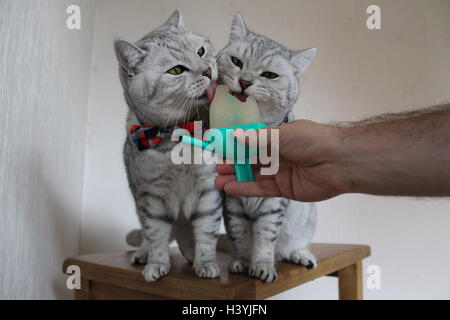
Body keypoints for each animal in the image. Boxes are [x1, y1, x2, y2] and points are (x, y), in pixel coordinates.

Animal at [115, 9, 222, 280]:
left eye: (200, 51)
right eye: (176, 70)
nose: (208, 71)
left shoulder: (208, 189)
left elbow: (207, 231)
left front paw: (206, 262)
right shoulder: (151, 197)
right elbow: (156, 235)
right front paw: (156, 264)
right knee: (149, 234)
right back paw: (144, 253)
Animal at [217, 13, 316, 282]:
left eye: (270, 75)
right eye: (236, 62)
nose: (244, 81)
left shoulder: (273, 203)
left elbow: (264, 238)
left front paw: (262, 265)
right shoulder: (231, 201)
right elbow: (240, 235)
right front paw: (241, 261)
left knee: (289, 246)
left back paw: (301, 255)